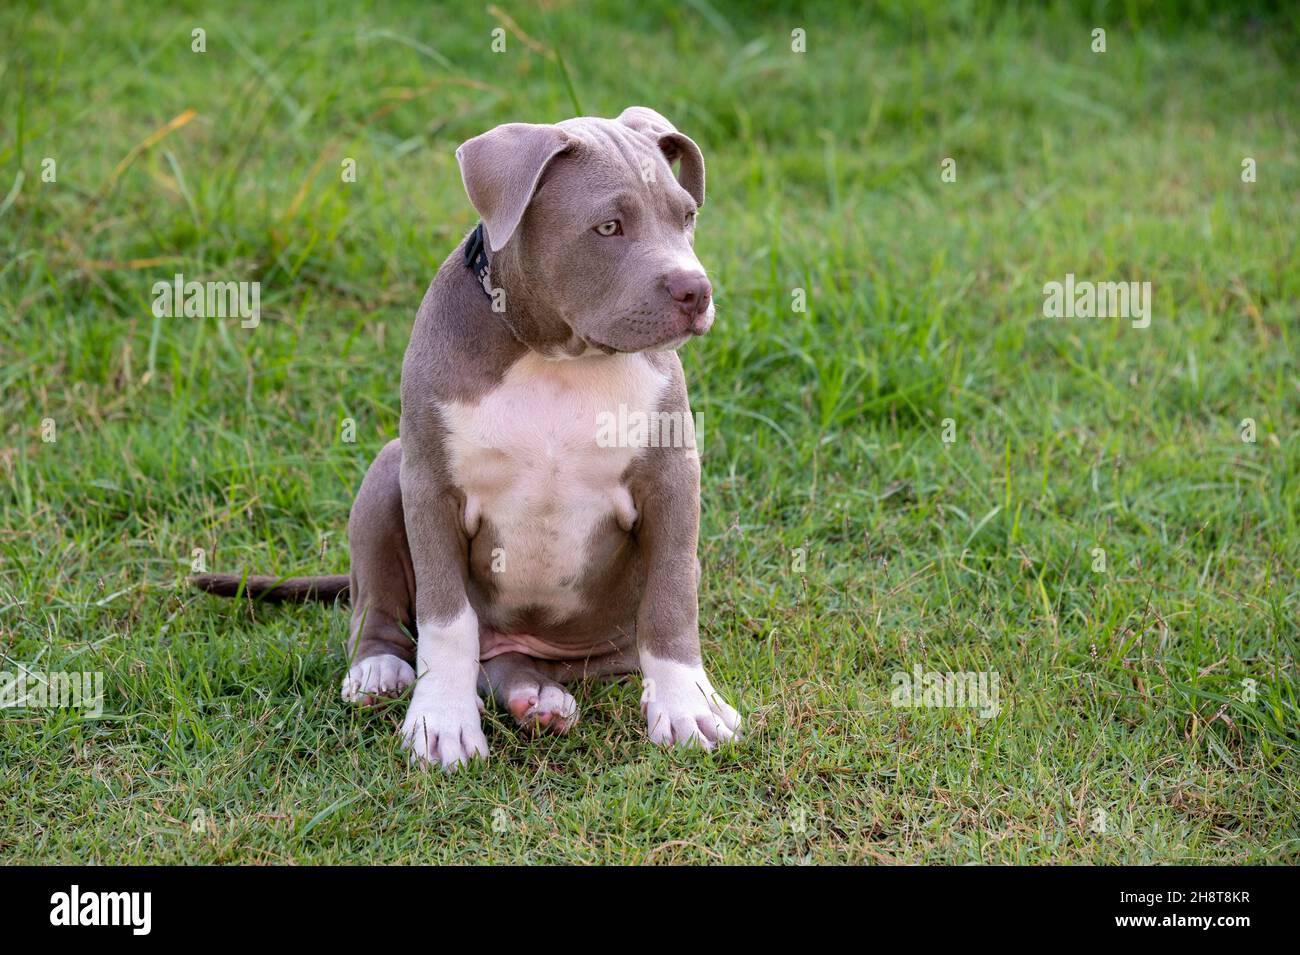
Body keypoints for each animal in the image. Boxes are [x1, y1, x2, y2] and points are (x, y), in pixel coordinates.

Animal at [192, 108, 743, 774]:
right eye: (608, 226)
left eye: (686, 216)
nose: (697, 291)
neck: (558, 357)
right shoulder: (432, 488)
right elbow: (447, 620)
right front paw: (443, 724)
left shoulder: (671, 480)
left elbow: (671, 598)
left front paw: (689, 706)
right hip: (389, 471)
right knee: (379, 607)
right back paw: (382, 672)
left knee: (513, 663)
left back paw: (538, 698)